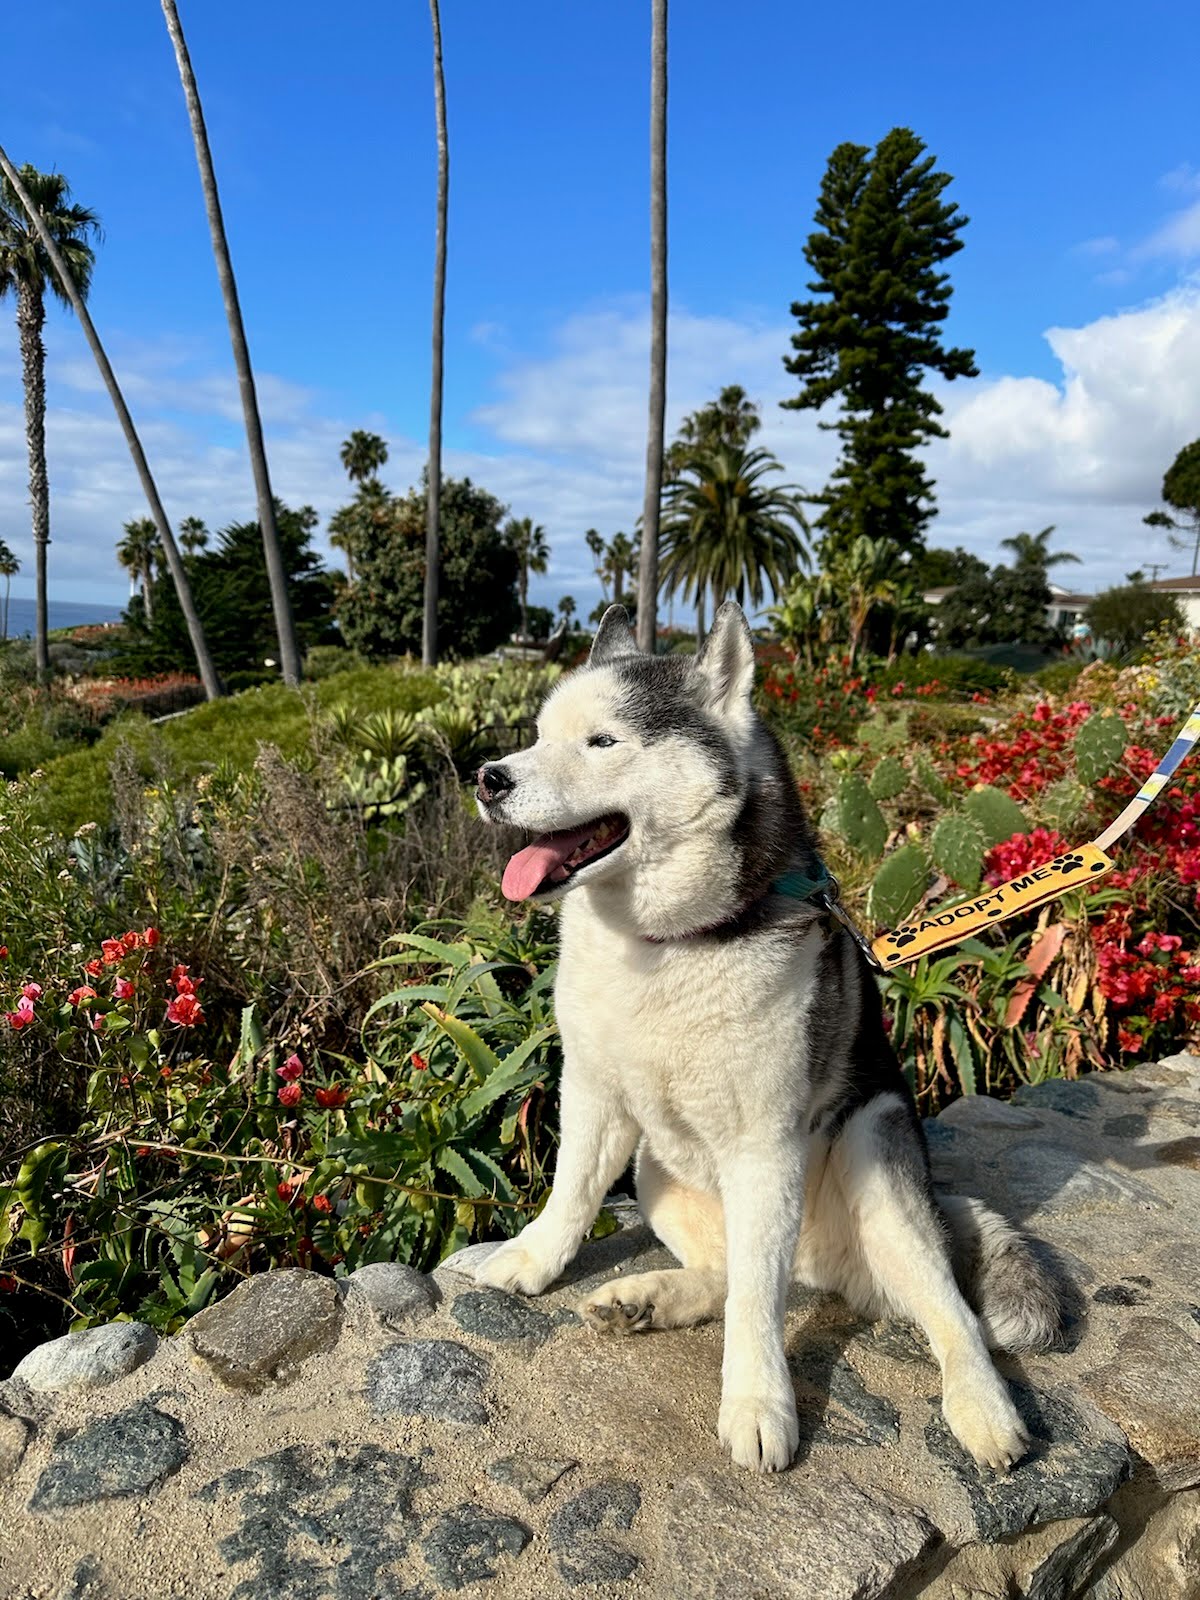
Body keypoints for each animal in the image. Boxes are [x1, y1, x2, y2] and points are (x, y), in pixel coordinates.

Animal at [473, 601, 1062, 1472]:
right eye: (540, 735)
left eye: (603, 741)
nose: (489, 778)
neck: (672, 944)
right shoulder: (593, 1091)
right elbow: (572, 1189)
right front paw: (532, 1257)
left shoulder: (764, 1146)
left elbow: (758, 1303)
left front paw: (757, 1403)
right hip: (659, 1173)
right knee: (737, 1273)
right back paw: (650, 1297)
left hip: (873, 1158)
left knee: (937, 1307)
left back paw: (984, 1408)